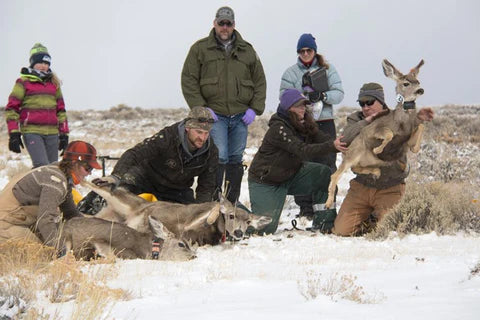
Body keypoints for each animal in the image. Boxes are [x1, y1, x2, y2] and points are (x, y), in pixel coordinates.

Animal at [80, 181, 272, 246]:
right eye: (231, 216)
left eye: (248, 222)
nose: (239, 232)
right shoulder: (195, 213)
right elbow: (216, 206)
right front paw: (215, 212)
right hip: (121, 198)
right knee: (93, 184)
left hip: (112, 215)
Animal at [326, 58, 436, 209]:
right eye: (406, 83)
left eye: (418, 81)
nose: (421, 90)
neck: (401, 122)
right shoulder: (373, 130)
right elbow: (388, 134)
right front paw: (377, 149)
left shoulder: (407, 141)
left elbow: (419, 129)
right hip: (355, 152)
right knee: (336, 175)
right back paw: (328, 203)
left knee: (356, 167)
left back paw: (376, 171)